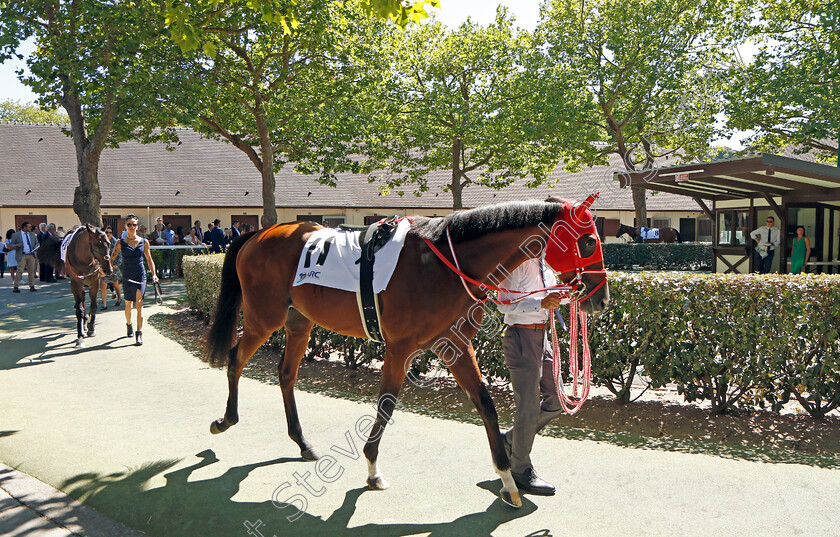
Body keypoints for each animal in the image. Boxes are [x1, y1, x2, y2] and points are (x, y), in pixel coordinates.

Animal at [206, 200, 608, 506]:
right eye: (588, 241)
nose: (600, 297)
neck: (446, 264)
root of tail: (258, 234)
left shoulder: (455, 346)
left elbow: (486, 405)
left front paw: (508, 479)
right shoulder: (400, 348)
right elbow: (386, 404)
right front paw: (372, 469)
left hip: (299, 322)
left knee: (286, 374)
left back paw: (302, 442)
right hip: (264, 318)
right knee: (235, 358)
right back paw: (225, 419)